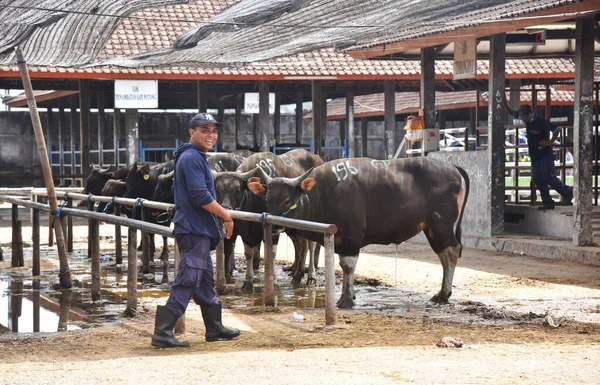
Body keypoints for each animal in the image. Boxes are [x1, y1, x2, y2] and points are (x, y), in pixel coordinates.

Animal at [248, 154, 468, 308]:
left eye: (287, 201)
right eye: (267, 199)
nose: (275, 225)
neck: (321, 195)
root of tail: (452, 167)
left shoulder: (351, 238)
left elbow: (348, 265)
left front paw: (346, 299)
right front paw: (350, 294)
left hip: (440, 224)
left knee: (451, 252)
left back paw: (443, 294)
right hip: (431, 228)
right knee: (445, 254)